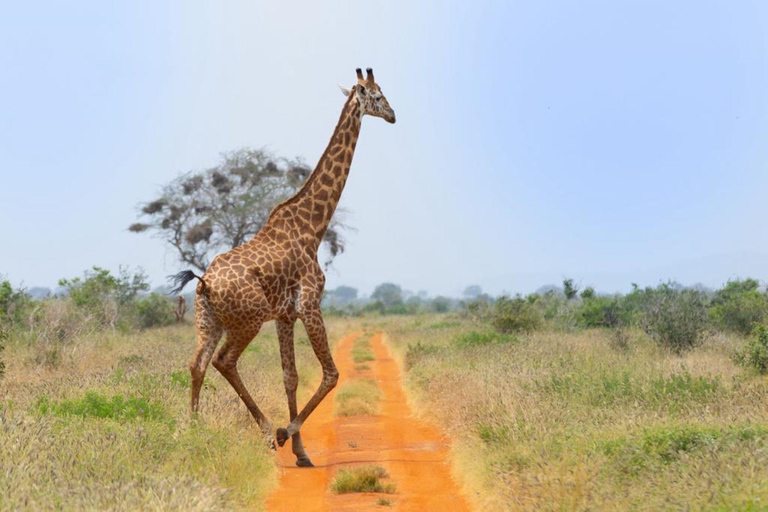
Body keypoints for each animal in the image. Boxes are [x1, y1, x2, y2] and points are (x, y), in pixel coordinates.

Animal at [169, 68, 396, 468]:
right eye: (378, 96)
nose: (394, 115)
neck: (313, 226)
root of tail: (204, 282)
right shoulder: (309, 304)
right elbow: (331, 373)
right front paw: (286, 434)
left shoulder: (285, 315)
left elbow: (290, 376)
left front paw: (302, 453)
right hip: (248, 319)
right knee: (225, 361)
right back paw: (266, 431)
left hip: (208, 320)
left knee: (196, 364)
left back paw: (194, 431)